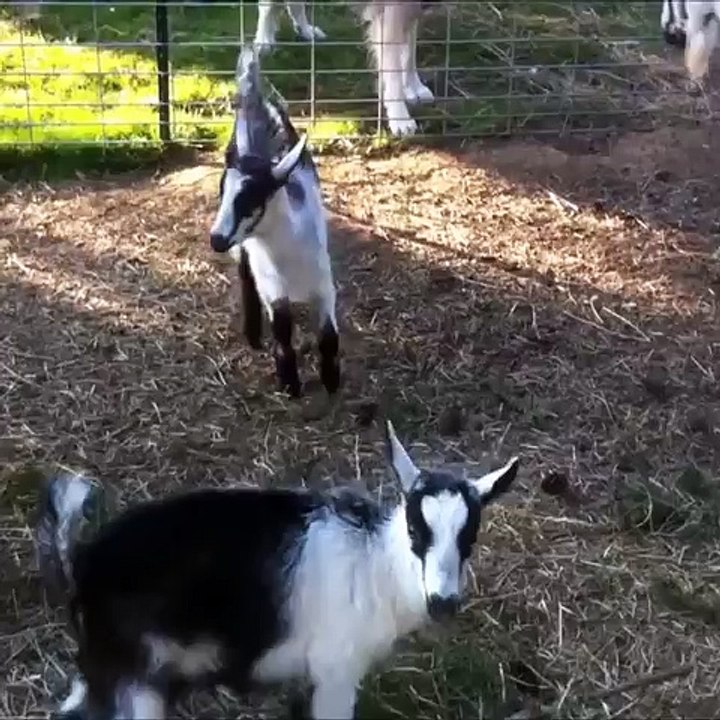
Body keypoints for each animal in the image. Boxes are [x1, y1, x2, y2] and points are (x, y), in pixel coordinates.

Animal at [35, 421, 520, 720]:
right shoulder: (336, 669)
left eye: (469, 535)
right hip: (133, 677)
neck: (375, 566)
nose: (443, 602)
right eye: (417, 528)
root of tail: (83, 562)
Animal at [209, 45, 339, 399]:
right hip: (245, 252)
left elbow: (329, 336)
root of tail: (252, 96)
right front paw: (290, 382)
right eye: (222, 192)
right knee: (244, 276)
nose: (215, 239)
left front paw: (332, 380)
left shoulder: (324, 283)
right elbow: (282, 330)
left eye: (252, 197)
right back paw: (253, 333)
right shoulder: (272, 286)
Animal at [253, 1, 441, 137]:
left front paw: (414, 88)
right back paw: (264, 39)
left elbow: (409, 52)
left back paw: (306, 31)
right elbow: (393, 73)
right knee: (266, 5)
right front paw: (400, 118)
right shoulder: (390, 12)